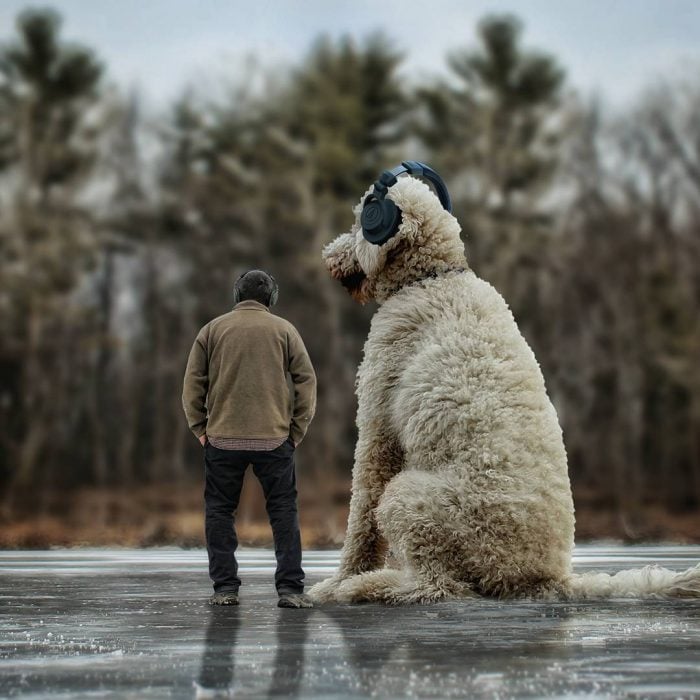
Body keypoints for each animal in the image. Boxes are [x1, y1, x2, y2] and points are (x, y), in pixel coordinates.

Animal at [310, 172, 700, 604]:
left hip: (412, 500)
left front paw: (338, 581)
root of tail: (543, 576)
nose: (328, 256)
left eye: (359, 222)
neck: (431, 276)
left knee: (438, 585)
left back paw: (371, 586)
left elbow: (361, 511)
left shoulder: (379, 416)